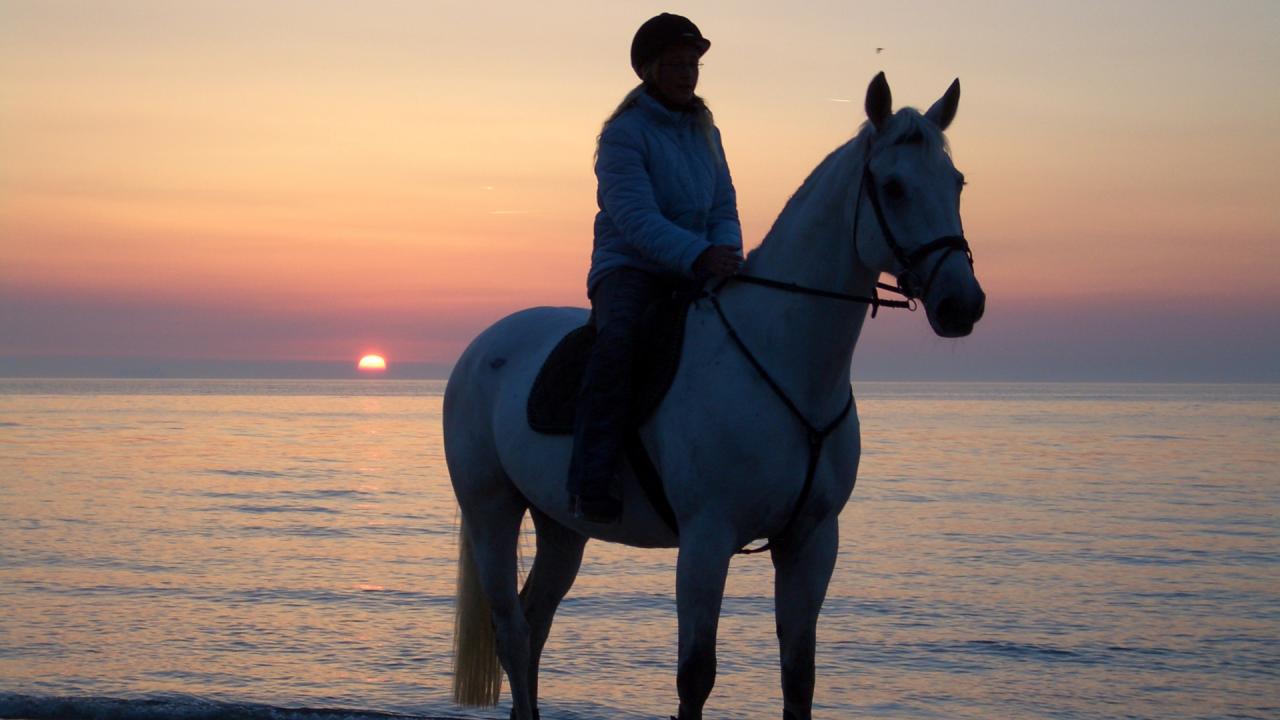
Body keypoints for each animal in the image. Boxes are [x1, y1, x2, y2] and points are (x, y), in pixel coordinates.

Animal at [445, 74, 983, 717]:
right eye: (895, 186)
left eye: (956, 182)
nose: (962, 304)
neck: (783, 361)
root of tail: (483, 346)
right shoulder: (706, 541)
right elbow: (695, 675)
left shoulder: (811, 542)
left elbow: (799, 676)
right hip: (491, 512)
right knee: (511, 627)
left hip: (561, 525)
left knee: (534, 622)